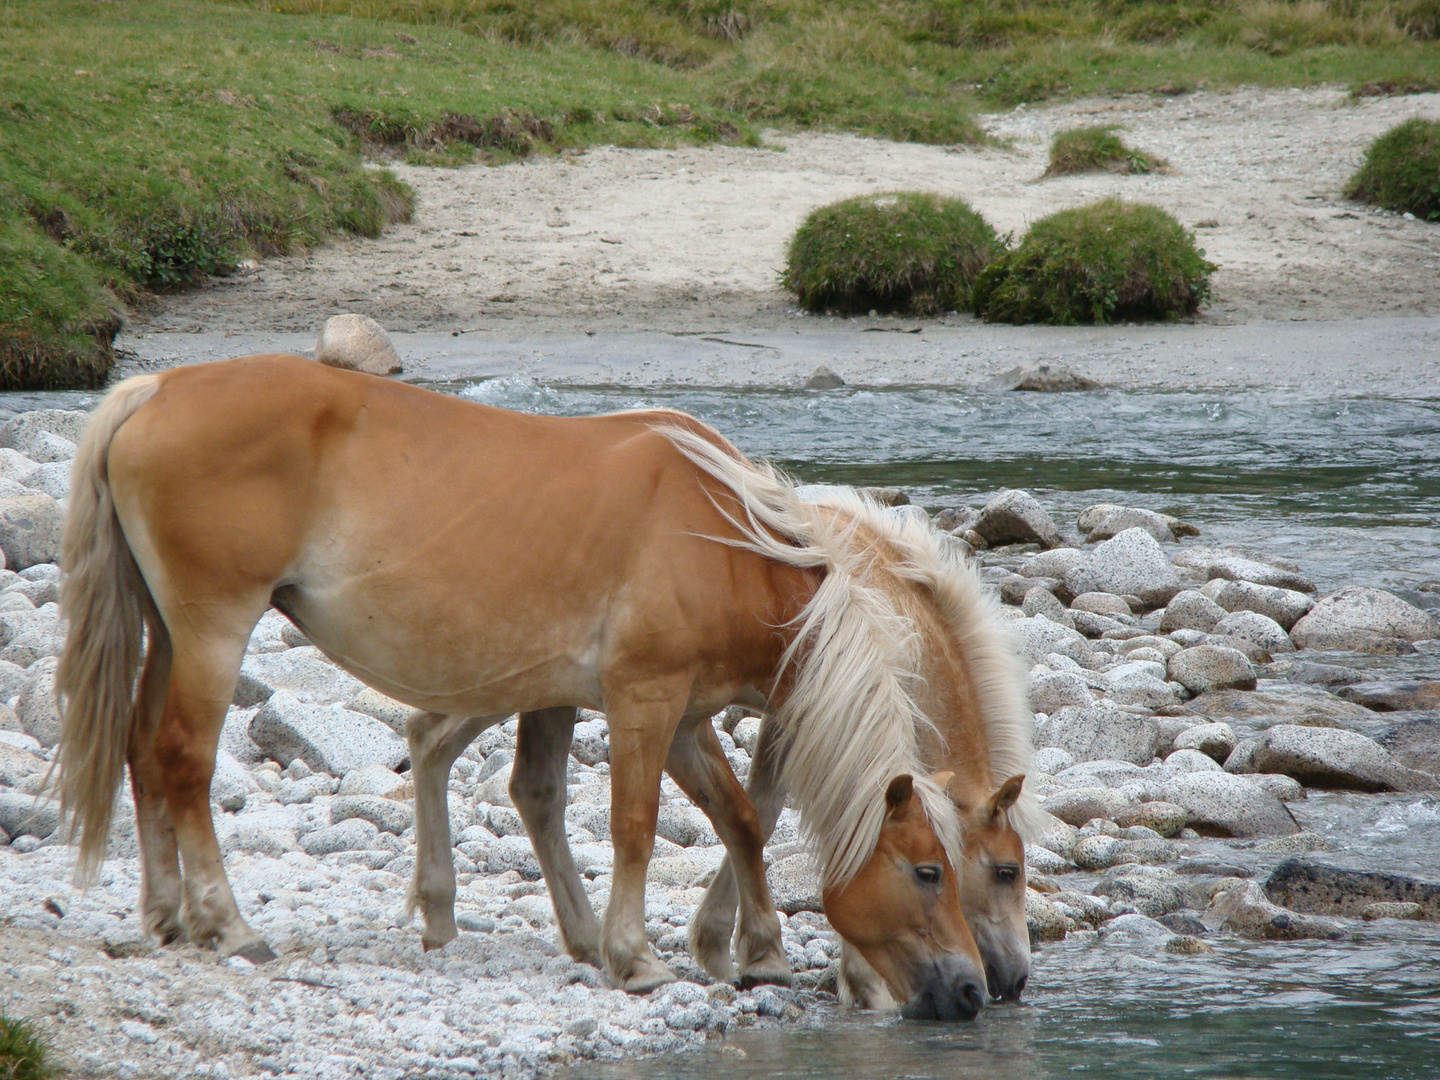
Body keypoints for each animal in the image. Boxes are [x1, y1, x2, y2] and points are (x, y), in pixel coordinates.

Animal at [53, 357, 1002, 1025]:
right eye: (931, 871)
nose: (974, 990)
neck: (722, 535)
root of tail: (154, 389)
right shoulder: (644, 699)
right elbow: (634, 825)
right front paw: (635, 957)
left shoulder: (682, 714)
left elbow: (736, 818)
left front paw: (756, 951)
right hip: (213, 631)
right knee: (183, 759)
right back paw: (229, 923)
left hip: (167, 633)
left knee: (141, 751)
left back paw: (166, 914)